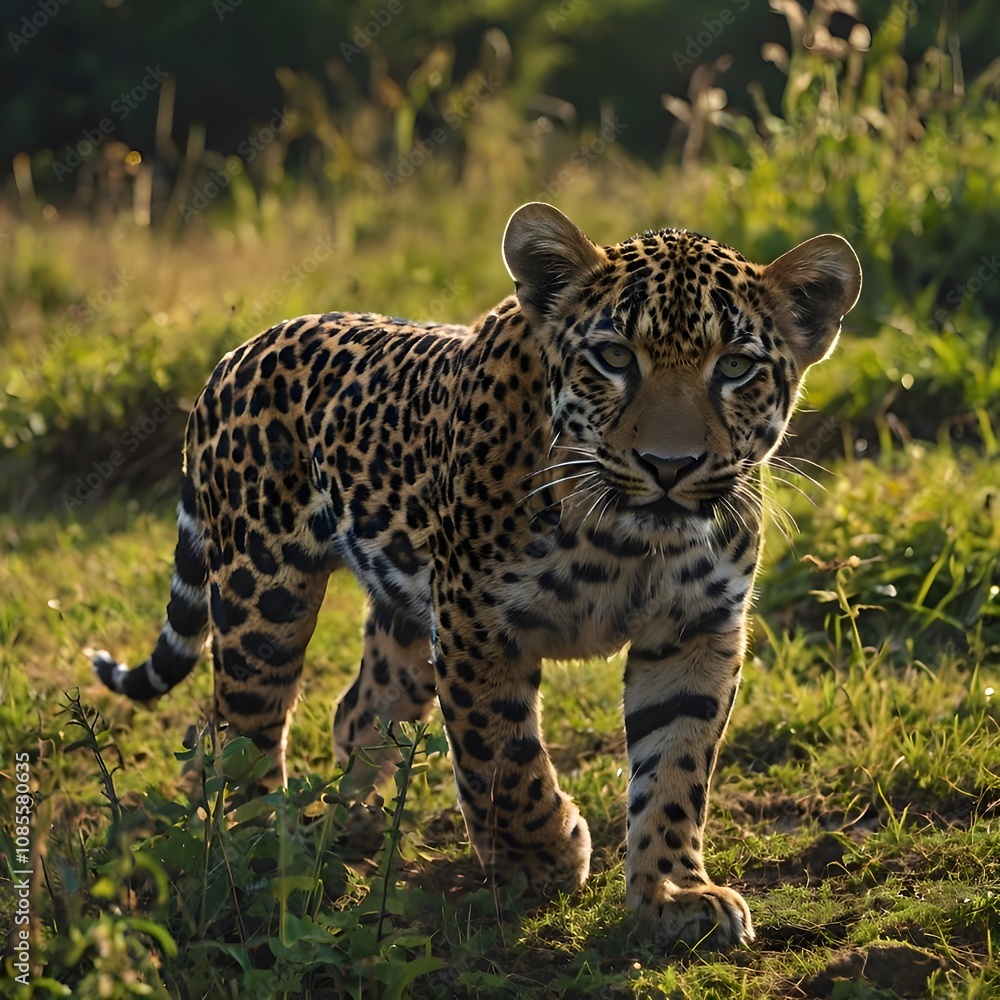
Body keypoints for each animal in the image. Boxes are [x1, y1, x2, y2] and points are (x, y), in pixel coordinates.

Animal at [91, 202, 861, 948]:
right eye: (614, 357)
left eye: (734, 368)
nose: (668, 466)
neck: (626, 544)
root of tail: (237, 353)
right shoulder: (476, 624)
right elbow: (501, 755)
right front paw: (545, 857)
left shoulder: (696, 631)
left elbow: (675, 770)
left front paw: (672, 893)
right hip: (264, 597)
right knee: (239, 732)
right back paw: (263, 858)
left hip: (403, 621)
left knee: (357, 708)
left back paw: (353, 821)